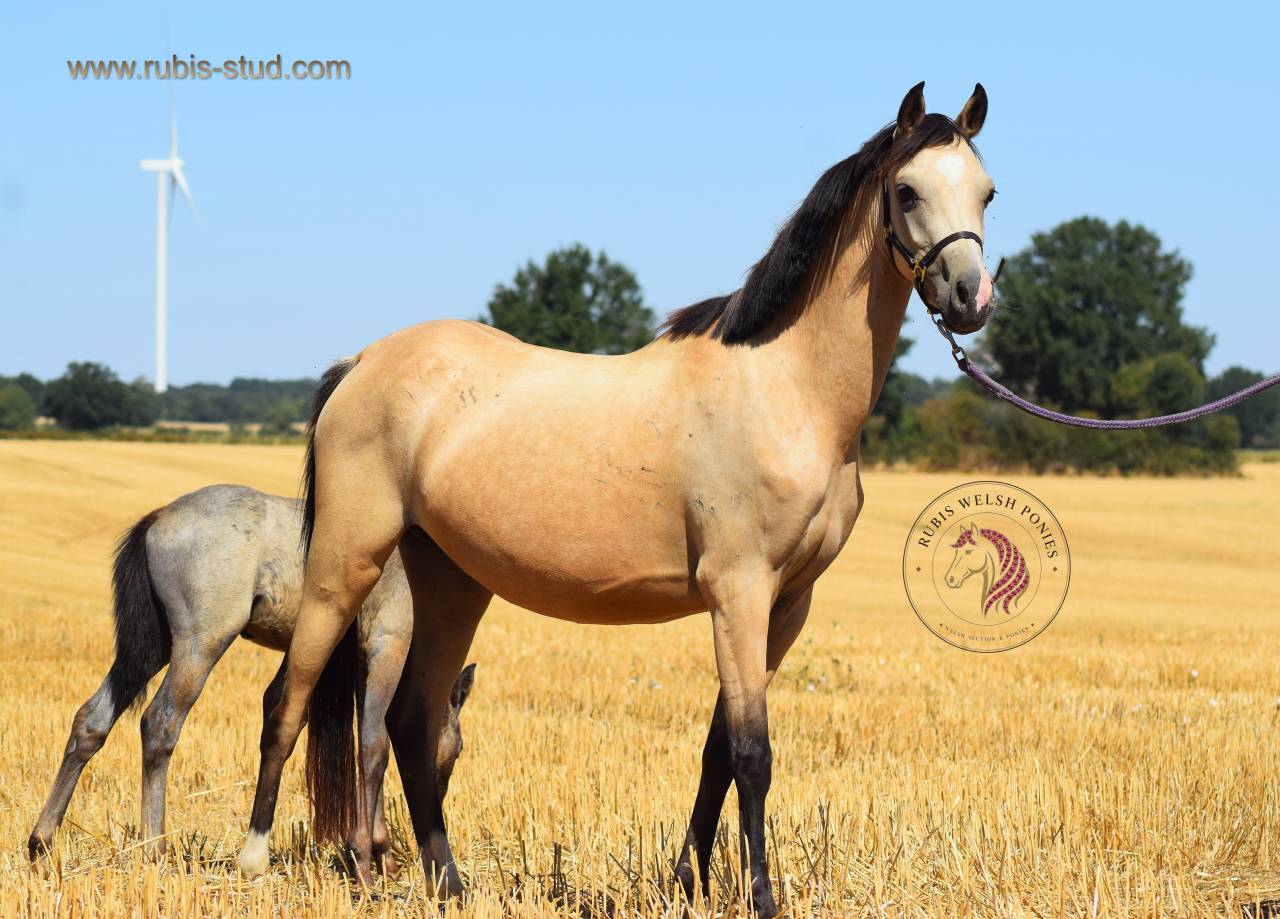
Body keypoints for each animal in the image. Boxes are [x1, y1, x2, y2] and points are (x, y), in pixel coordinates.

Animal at [29, 484, 478, 876]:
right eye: (457, 751)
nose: (437, 800)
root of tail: (160, 517)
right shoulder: (387, 646)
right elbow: (374, 743)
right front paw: (378, 855)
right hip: (200, 644)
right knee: (159, 723)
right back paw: (154, 849)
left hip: (153, 647)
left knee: (92, 721)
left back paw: (42, 841)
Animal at [237, 81, 999, 917]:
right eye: (907, 190)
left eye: (987, 191)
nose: (971, 298)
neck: (782, 390)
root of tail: (363, 361)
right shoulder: (738, 591)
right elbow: (752, 752)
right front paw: (760, 897)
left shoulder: (786, 604)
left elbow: (717, 750)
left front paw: (688, 881)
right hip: (345, 563)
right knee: (286, 698)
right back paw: (255, 859)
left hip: (451, 581)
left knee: (410, 718)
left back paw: (449, 882)